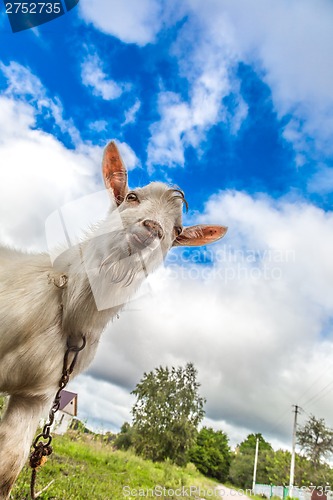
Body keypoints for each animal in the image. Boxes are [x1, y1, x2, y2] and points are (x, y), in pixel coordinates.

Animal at [0, 141, 226, 496]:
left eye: (177, 231)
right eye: (131, 196)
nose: (152, 229)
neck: (69, 308)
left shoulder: (36, 396)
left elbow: (8, 468)